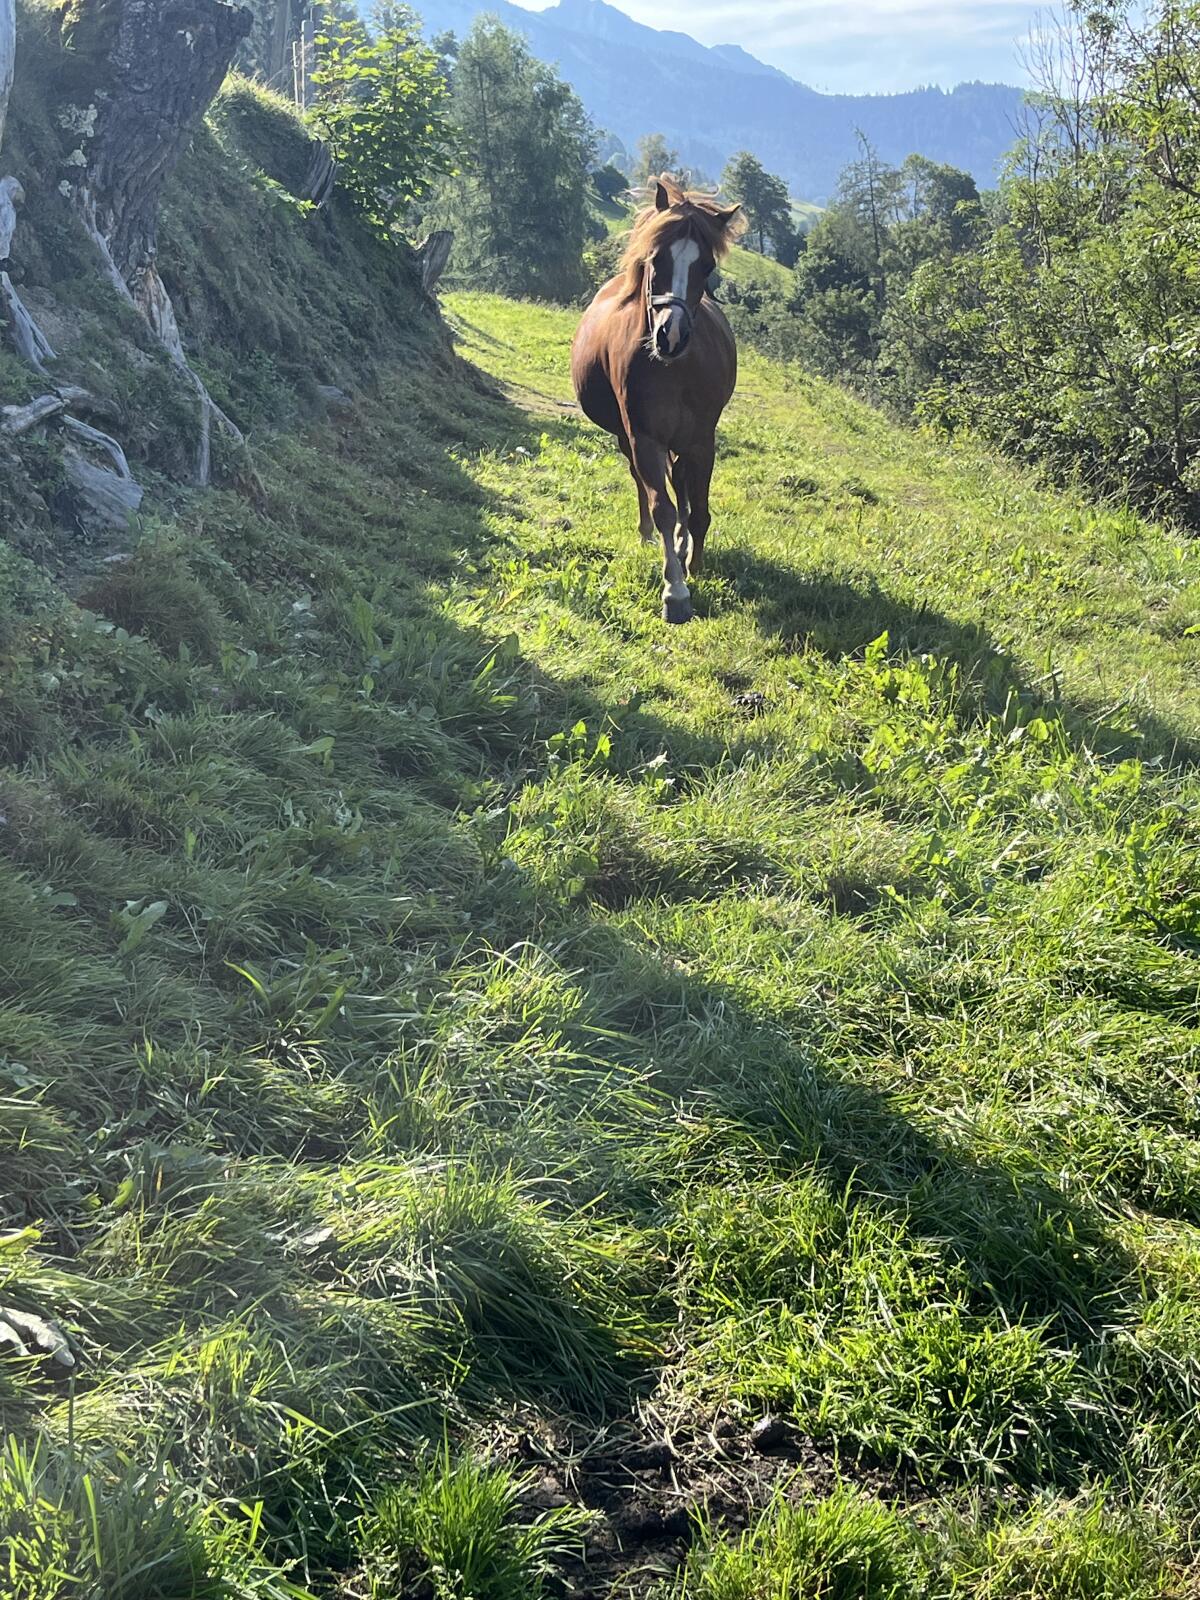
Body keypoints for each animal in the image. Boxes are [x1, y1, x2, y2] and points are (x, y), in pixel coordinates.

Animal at [570, 175, 745, 624]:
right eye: (656, 259)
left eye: (707, 267)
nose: (671, 335)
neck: (676, 369)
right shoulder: (644, 438)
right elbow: (662, 505)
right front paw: (675, 591)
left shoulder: (702, 441)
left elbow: (697, 508)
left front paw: (694, 562)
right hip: (626, 437)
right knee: (642, 482)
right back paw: (648, 535)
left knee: (680, 482)